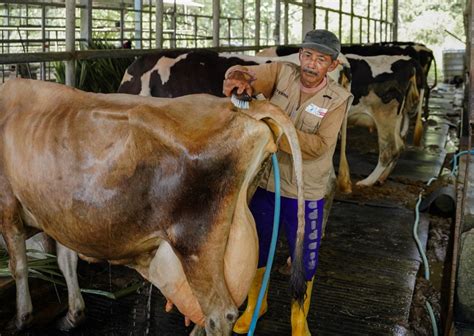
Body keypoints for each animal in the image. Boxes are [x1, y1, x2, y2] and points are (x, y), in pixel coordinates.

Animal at [0, 79, 304, 336]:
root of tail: (237, 107)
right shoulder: (59, 215)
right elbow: (66, 262)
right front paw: (73, 315)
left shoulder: (7, 206)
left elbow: (19, 265)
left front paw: (21, 318)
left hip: (196, 244)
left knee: (220, 314)